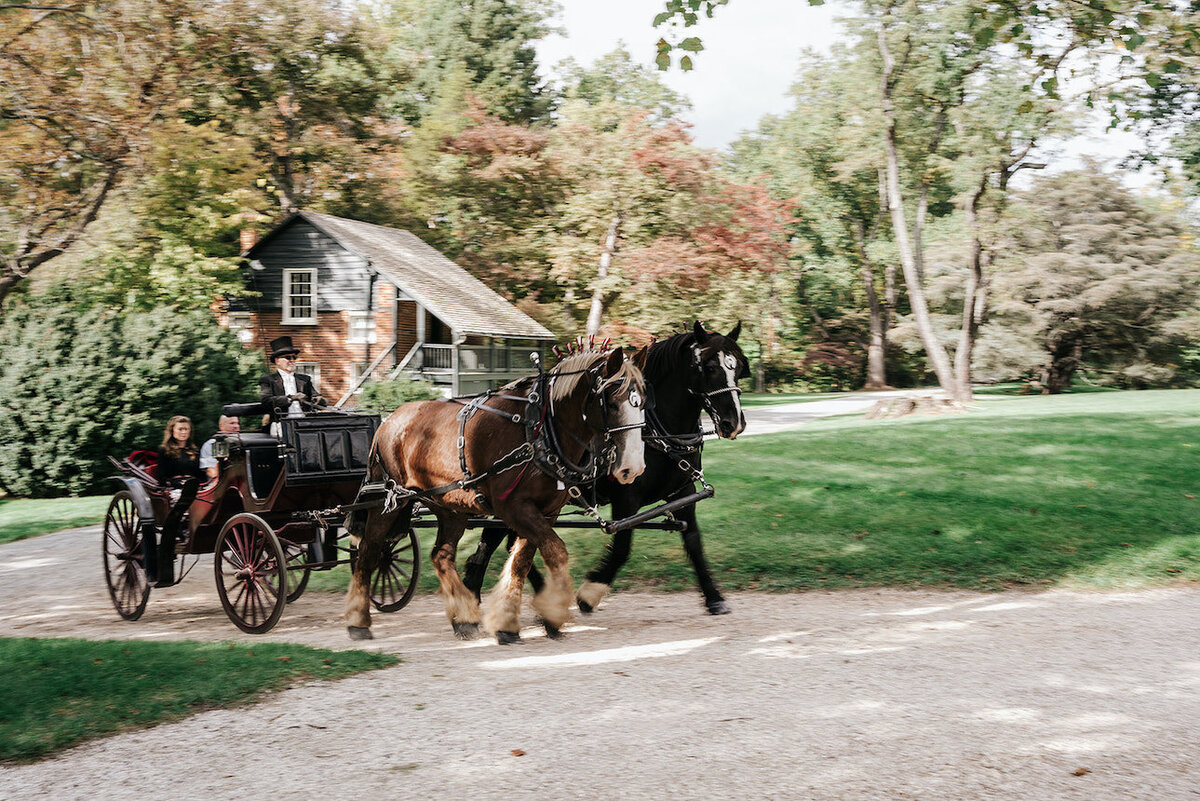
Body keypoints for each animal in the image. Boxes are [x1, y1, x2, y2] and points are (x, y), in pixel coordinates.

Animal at [345, 347, 648, 642]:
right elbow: (555, 551)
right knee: (369, 551)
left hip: (451, 505)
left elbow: (521, 563)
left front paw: (509, 623)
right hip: (390, 502)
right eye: (611, 403)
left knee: (441, 556)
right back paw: (358, 621)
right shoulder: (513, 508)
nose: (633, 468)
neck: (539, 431)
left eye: (643, 402)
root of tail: (389, 421)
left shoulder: (546, 512)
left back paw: (464, 617)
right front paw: (553, 610)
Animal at [460, 321, 748, 618]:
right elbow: (621, 547)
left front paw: (714, 597)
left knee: (508, 542)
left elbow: (694, 541)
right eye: (709, 367)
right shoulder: (626, 497)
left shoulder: (683, 492)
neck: (654, 431)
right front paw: (590, 593)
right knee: (497, 542)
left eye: (738, 367)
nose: (734, 422)